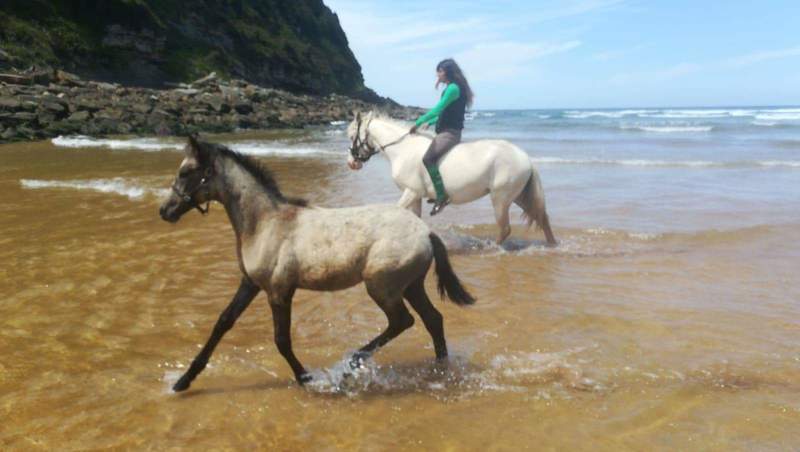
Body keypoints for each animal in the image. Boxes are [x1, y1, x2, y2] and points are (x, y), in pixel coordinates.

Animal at [159, 135, 475, 392]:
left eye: (186, 172)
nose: (165, 211)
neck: (265, 224)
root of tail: (427, 232)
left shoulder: (279, 291)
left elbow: (281, 339)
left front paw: (306, 378)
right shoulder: (250, 283)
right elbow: (222, 323)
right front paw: (183, 381)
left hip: (381, 286)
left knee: (402, 321)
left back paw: (351, 366)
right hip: (410, 285)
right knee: (433, 319)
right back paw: (440, 367)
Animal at [346, 112, 557, 246]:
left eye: (351, 136)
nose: (351, 163)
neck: (402, 149)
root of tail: (525, 157)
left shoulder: (411, 192)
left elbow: (397, 210)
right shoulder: (416, 196)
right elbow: (416, 220)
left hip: (501, 199)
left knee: (505, 228)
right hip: (518, 197)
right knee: (542, 218)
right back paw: (552, 245)